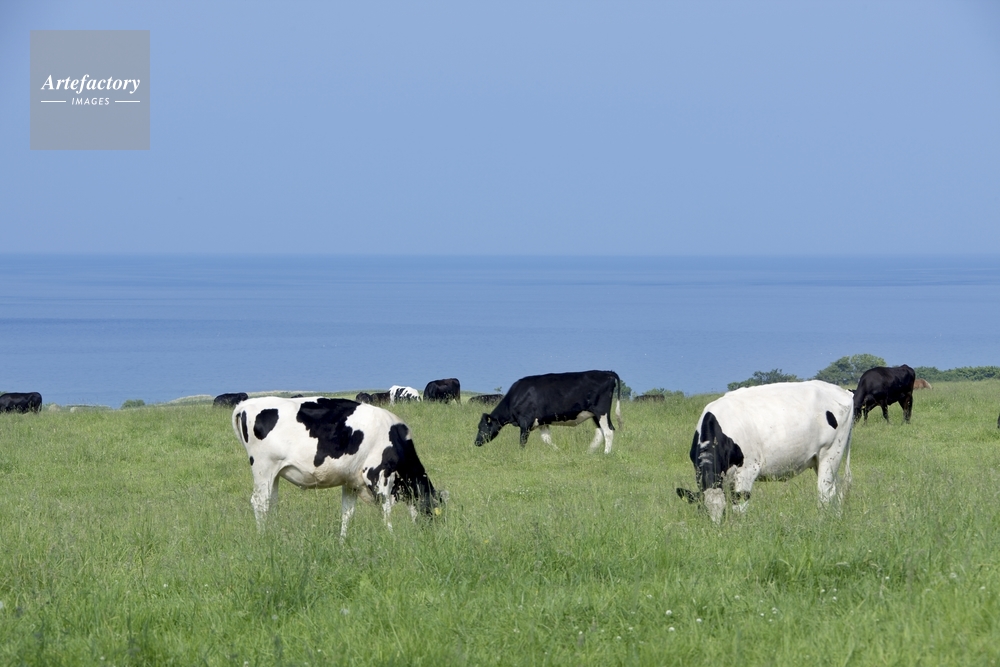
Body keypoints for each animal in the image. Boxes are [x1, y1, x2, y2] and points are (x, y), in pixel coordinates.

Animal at [232, 396, 444, 539]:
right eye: (436, 513)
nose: (432, 536)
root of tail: (247, 404)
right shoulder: (377, 474)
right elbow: (385, 510)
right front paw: (391, 538)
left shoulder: (351, 482)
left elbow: (347, 513)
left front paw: (342, 542)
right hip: (263, 468)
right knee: (260, 502)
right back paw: (263, 537)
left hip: (273, 473)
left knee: (271, 503)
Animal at [474, 370, 623, 453]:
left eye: (482, 427)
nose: (476, 442)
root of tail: (607, 372)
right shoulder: (542, 422)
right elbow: (546, 439)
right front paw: (558, 451)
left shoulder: (525, 422)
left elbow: (522, 441)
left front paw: (520, 454)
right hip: (594, 414)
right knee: (600, 432)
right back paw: (589, 451)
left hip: (601, 411)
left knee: (608, 431)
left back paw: (606, 453)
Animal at [676, 380, 854, 523]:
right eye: (703, 510)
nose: (716, 528)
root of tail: (843, 391)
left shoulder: (748, 470)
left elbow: (739, 507)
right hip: (821, 461)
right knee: (834, 489)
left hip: (831, 453)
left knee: (824, 493)